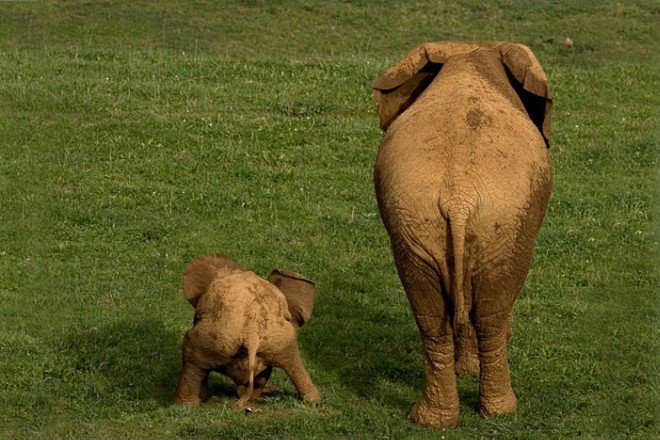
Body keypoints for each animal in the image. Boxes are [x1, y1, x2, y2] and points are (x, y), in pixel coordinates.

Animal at [372, 43, 552, 428]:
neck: (470, 54)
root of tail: (459, 196)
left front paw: (465, 372)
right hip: (503, 228)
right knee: (492, 312)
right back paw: (501, 411)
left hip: (416, 225)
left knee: (430, 315)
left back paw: (431, 419)